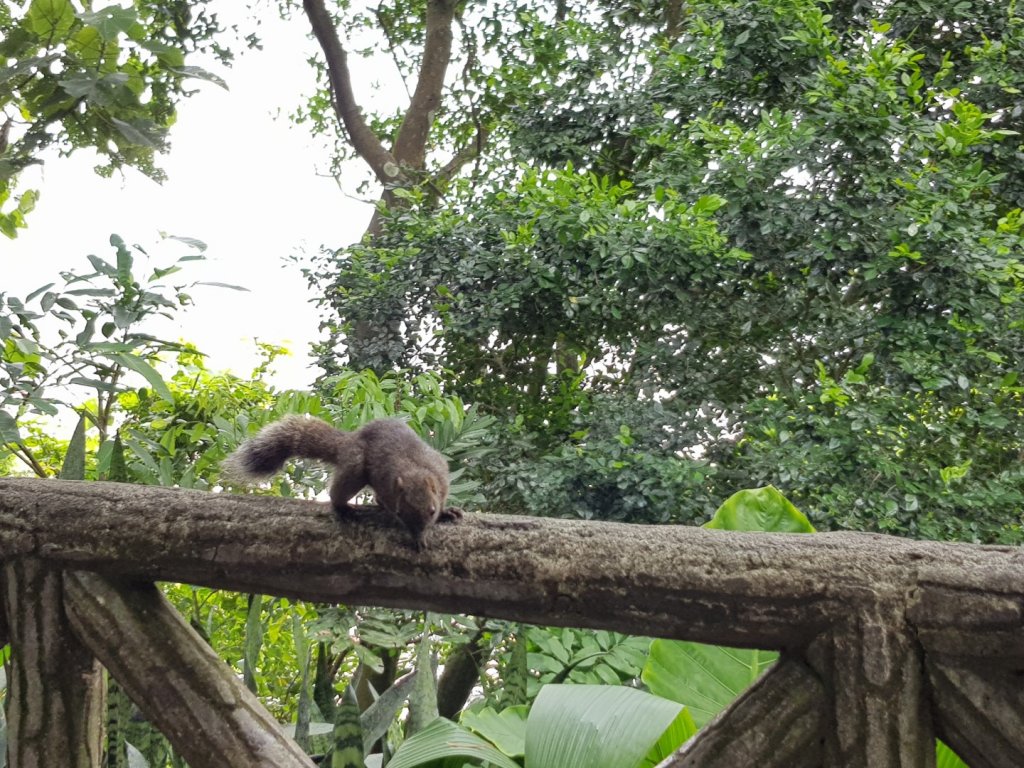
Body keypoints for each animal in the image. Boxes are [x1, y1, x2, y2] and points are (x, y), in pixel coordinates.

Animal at [228, 417, 464, 548]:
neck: (414, 471)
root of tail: (348, 441)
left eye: (432, 511)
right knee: (337, 495)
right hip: (355, 469)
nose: (418, 535)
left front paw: (446, 512)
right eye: (399, 513)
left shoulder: (441, 473)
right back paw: (343, 509)